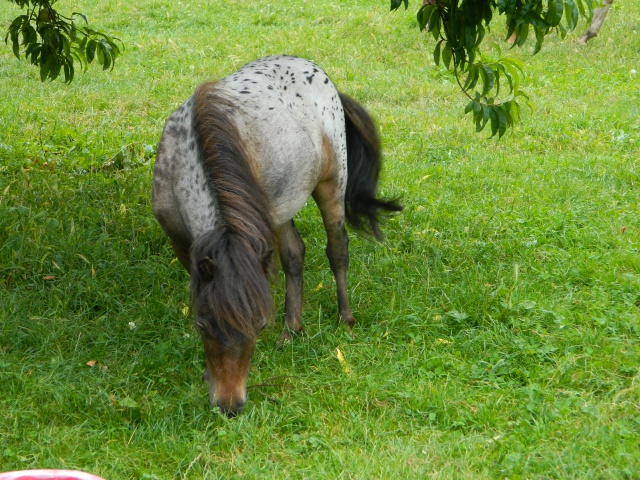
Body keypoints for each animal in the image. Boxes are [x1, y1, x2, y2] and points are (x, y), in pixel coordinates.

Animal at [151, 55, 400, 416]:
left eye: (259, 326)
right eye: (202, 326)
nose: (230, 405)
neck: (191, 152)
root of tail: (317, 71)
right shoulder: (183, 244)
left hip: (331, 186)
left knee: (337, 250)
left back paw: (345, 318)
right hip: (282, 209)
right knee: (295, 255)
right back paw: (291, 330)